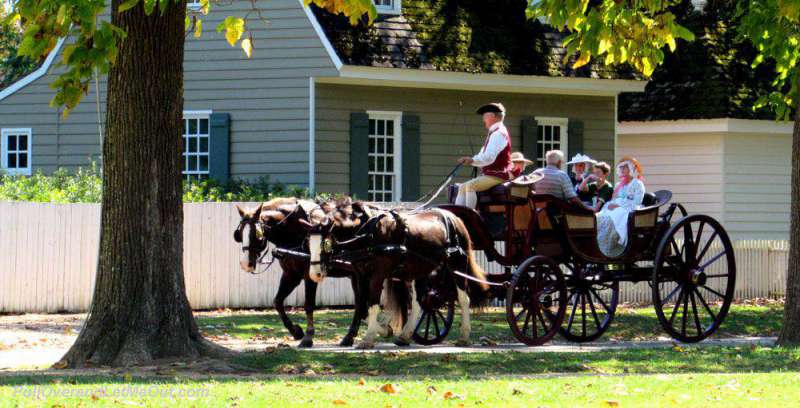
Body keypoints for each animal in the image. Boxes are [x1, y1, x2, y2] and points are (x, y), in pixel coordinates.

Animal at [310, 209, 490, 350]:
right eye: (308, 243)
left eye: (325, 243)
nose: (314, 274)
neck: (369, 238)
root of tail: (455, 219)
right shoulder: (361, 276)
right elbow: (361, 308)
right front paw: (382, 330)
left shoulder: (377, 275)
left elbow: (372, 305)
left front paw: (368, 338)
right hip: (421, 271)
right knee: (419, 303)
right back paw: (405, 335)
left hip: (457, 265)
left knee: (464, 299)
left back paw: (464, 336)